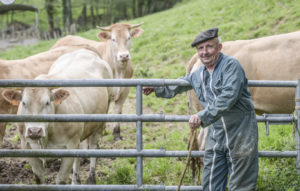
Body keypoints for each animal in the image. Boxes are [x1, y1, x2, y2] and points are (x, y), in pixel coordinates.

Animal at [2, 48, 112, 184]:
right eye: (23, 103)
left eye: (47, 102)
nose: (34, 131)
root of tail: (83, 50)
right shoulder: (28, 148)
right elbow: (39, 178)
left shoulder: (70, 147)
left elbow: (61, 180)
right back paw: (76, 181)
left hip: (100, 121)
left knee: (93, 148)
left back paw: (91, 179)